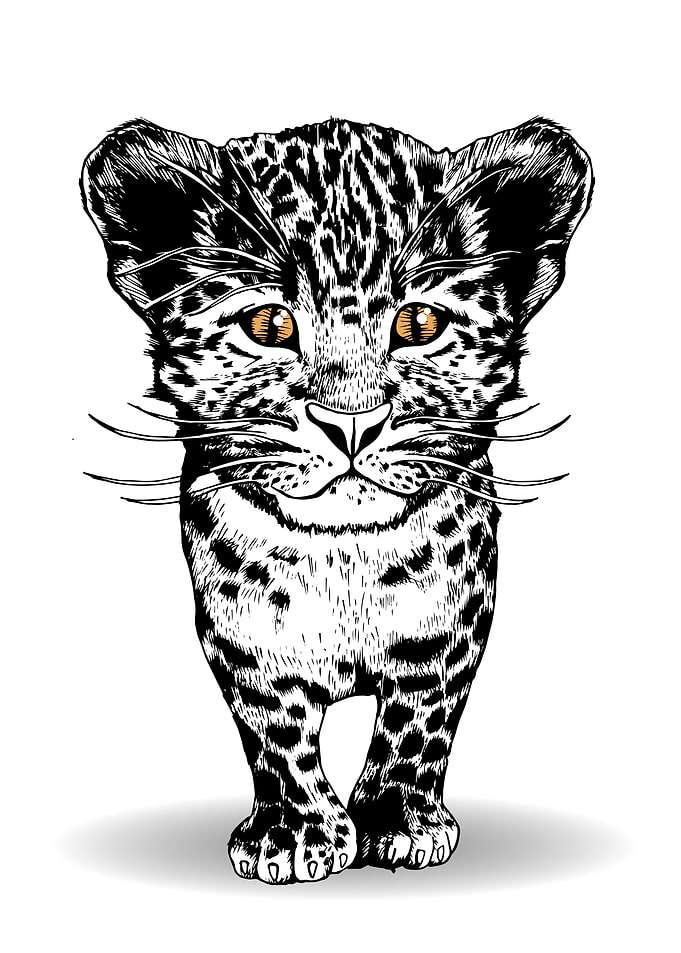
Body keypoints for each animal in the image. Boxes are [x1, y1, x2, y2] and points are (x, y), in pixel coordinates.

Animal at [81, 114, 592, 884]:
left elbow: (417, 725)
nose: (350, 421)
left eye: (419, 325)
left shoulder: (449, 630)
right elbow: (275, 734)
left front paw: (398, 820)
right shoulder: (243, 641)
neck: (342, 555)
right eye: (268, 326)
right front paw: (294, 831)